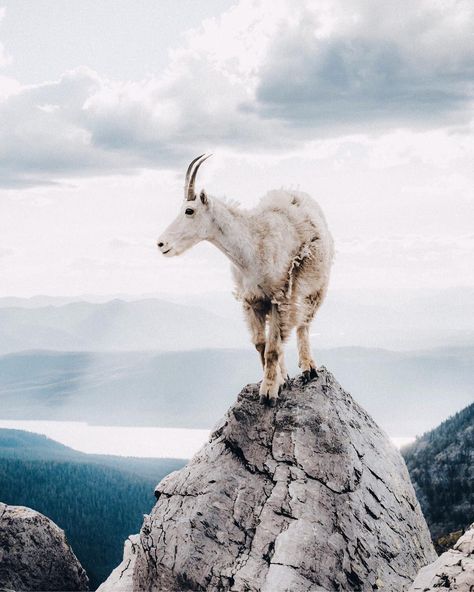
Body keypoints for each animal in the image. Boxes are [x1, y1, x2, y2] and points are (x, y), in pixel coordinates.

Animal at [156, 156, 334, 408]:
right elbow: (262, 344)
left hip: (315, 288)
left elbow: (272, 349)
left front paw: (268, 394)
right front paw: (278, 382)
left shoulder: (280, 298)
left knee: (303, 324)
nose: (161, 244)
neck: (253, 246)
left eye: (189, 210)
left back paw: (309, 369)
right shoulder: (252, 300)